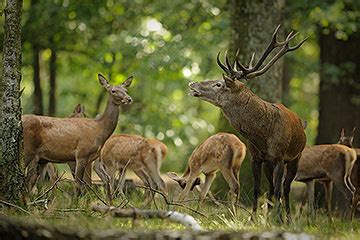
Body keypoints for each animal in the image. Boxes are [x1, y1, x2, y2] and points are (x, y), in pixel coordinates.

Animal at [188, 25, 306, 220]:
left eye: (219, 84)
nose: (192, 83)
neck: (263, 136)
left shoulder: (280, 157)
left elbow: (279, 191)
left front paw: (278, 219)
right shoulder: (255, 157)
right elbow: (257, 189)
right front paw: (253, 218)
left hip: (296, 157)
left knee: (285, 188)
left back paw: (287, 218)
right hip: (269, 163)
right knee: (272, 187)